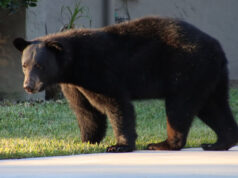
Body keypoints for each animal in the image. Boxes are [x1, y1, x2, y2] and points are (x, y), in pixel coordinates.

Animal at [13, 16, 238, 152]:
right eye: (24, 65)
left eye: (40, 65)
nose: (28, 86)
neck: (73, 64)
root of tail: (217, 46)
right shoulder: (73, 86)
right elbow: (86, 111)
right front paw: (85, 141)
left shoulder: (99, 70)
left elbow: (116, 104)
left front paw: (119, 145)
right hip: (210, 75)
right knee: (213, 106)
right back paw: (218, 142)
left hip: (187, 69)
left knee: (180, 107)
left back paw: (162, 144)